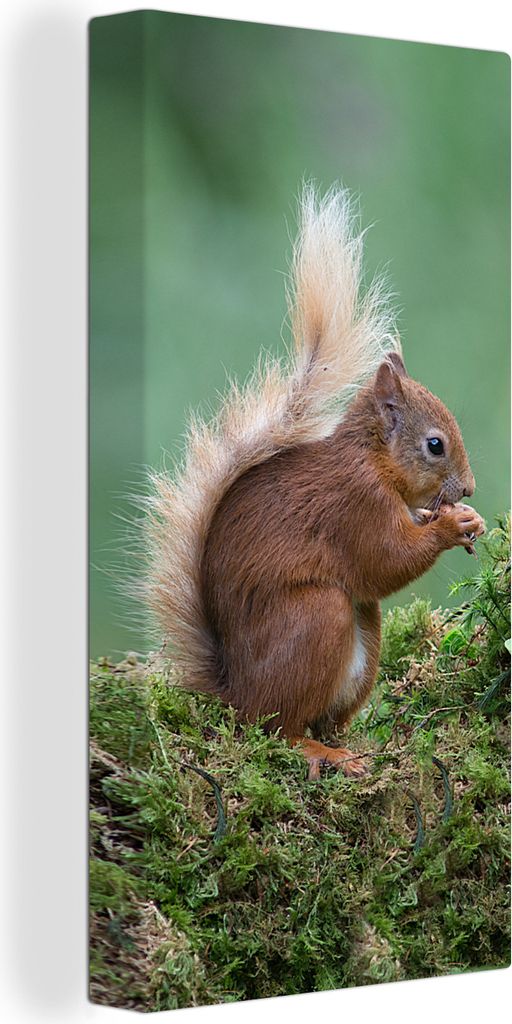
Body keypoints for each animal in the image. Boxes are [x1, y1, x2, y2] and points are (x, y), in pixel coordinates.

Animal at [144, 185, 486, 778]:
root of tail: (236, 695)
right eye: (434, 445)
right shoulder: (354, 503)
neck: (373, 460)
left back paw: (348, 744)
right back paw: (319, 752)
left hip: (363, 638)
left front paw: (466, 520)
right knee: (277, 728)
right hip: (315, 618)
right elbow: (384, 559)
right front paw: (450, 525)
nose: (465, 490)